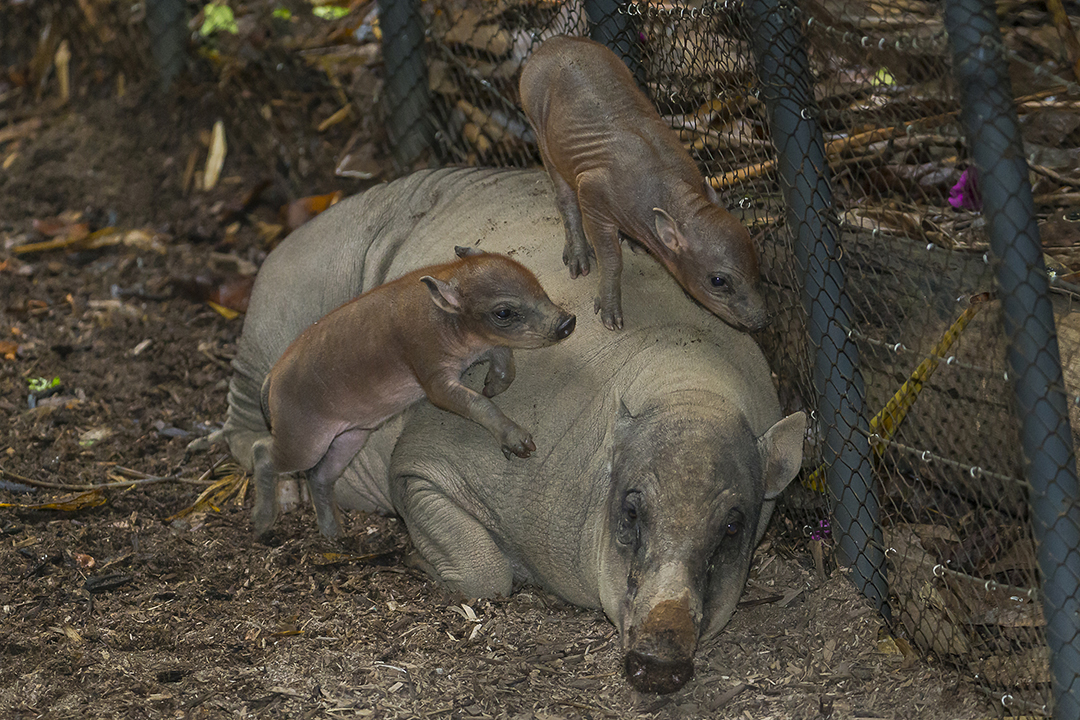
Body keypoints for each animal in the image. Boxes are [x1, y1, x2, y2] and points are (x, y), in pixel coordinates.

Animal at [223, 166, 807, 695]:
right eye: (632, 510)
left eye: (732, 526)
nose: (659, 665)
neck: (688, 396)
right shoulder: (421, 464)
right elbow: (487, 575)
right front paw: (414, 558)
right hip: (270, 342)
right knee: (246, 425)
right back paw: (284, 501)